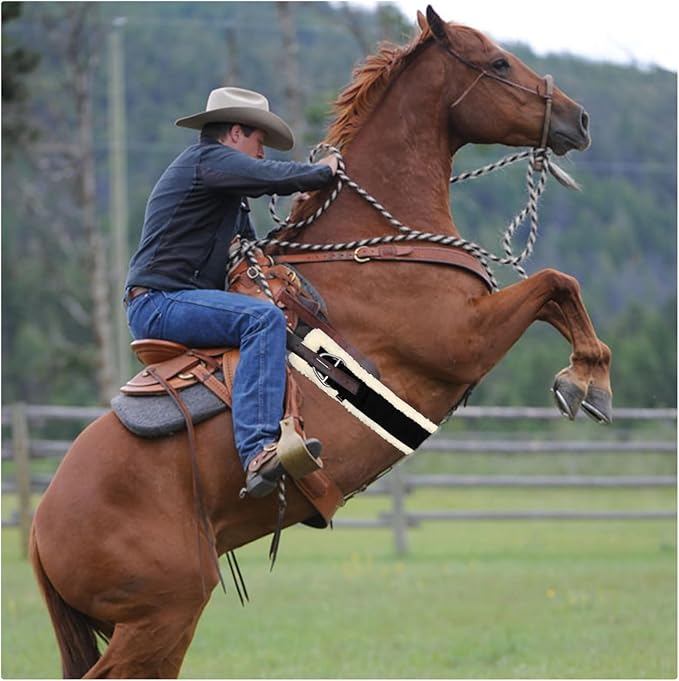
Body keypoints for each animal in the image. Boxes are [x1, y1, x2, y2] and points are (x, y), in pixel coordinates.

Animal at [30, 6, 609, 678]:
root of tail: (40, 528)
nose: (578, 118)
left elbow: (558, 289)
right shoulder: (462, 340)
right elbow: (555, 284)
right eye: (496, 62)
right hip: (163, 616)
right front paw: (586, 381)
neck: (373, 246)